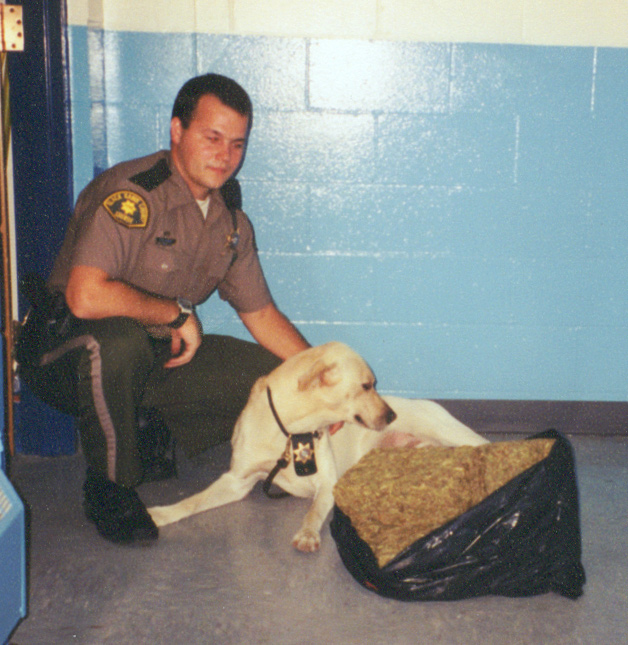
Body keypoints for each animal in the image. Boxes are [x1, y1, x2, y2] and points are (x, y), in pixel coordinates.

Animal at [150, 340, 488, 552]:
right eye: (367, 386)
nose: (391, 415)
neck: (287, 432)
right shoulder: (237, 481)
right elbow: (192, 502)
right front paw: (161, 514)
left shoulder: (327, 483)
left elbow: (312, 513)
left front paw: (308, 535)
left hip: (450, 432)